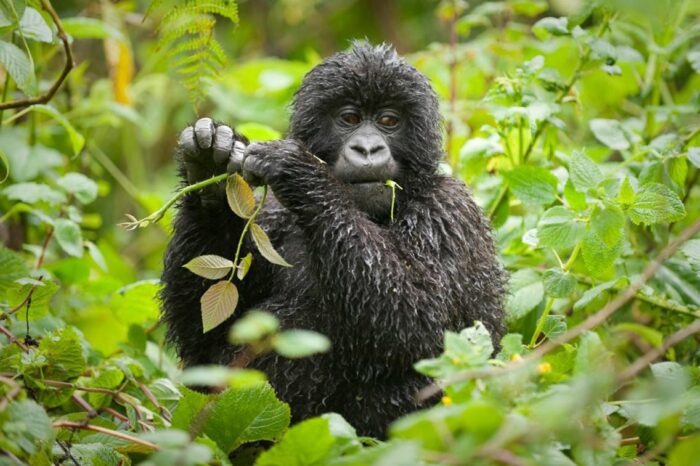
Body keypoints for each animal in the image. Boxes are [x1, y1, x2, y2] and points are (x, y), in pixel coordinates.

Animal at [161, 41, 506, 438]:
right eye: (350, 119)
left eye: (389, 121)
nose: (368, 149)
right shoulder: (272, 218)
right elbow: (204, 338)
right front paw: (211, 168)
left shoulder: (450, 213)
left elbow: (422, 324)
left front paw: (300, 170)